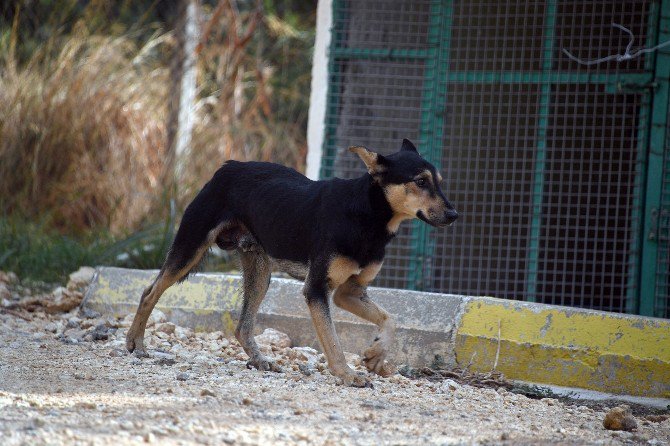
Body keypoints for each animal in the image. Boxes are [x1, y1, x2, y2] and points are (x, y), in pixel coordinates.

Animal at [126, 139, 460, 386]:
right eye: (420, 181)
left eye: (440, 182)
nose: (455, 215)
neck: (369, 215)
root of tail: (229, 167)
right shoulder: (317, 290)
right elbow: (333, 340)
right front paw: (347, 374)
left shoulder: (348, 292)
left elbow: (391, 319)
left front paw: (377, 355)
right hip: (189, 251)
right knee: (149, 291)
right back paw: (136, 343)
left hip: (259, 272)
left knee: (243, 326)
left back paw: (259, 360)